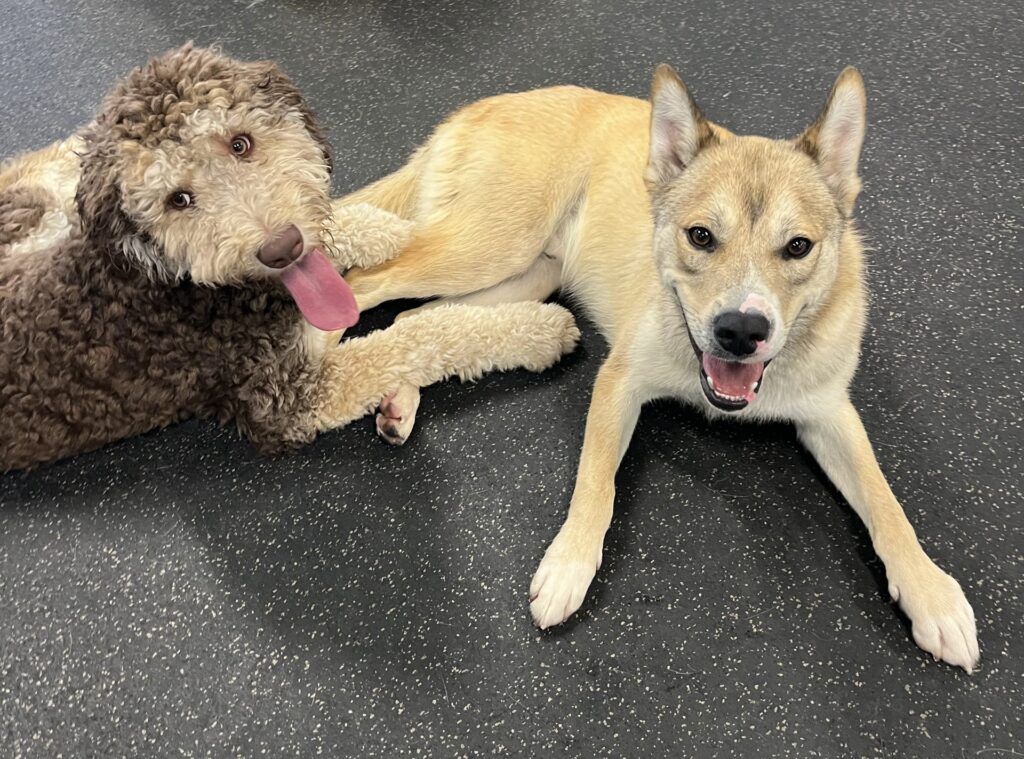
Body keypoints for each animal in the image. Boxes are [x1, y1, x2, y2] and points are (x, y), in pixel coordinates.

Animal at [0, 45, 579, 471]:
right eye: (177, 200)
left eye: (240, 143)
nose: (281, 248)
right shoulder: (287, 401)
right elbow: (419, 337)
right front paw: (539, 330)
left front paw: (380, 230)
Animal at [340, 66, 979, 671]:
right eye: (700, 236)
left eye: (798, 246)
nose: (741, 330)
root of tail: (478, 106)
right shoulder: (619, 382)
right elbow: (596, 484)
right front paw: (569, 565)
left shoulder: (830, 416)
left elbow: (887, 504)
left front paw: (932, 595)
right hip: (487, 248)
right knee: (364, 283)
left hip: (524, 274)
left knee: (423, 319)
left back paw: (399, 398)